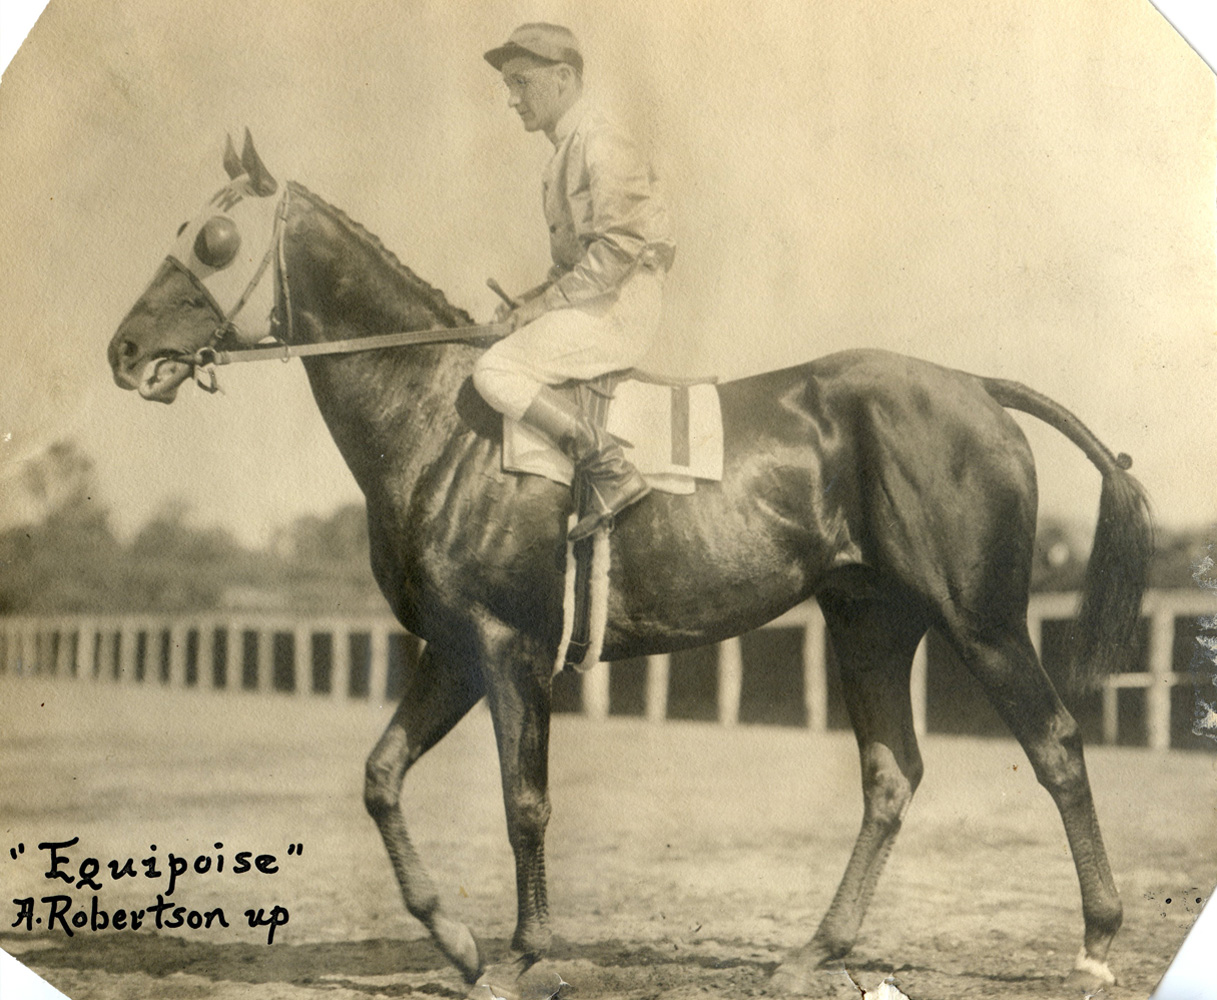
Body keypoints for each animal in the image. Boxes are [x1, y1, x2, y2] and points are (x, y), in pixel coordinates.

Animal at [107, 135, 1148, 1000]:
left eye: (213, 238)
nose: (124, 349)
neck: (443, 420)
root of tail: (972, 384)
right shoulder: (453, 649)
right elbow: (381, 775)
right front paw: (456, 940)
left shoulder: (507, 648)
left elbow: (524, 802)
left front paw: (520, 957)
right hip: (870, 623)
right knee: (892, 777)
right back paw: (814, 951)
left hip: (980, 620)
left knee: (1056, 745)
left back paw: (1097, 940)